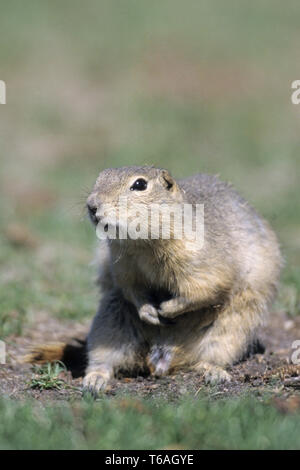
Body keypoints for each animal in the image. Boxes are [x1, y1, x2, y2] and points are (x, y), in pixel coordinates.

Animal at [24, 165, 282, 392]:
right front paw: (149, 311)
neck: (144, 245)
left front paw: (167, 309)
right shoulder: (125, 265)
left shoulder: (202, 258)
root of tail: (160, 361)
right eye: (100, 176)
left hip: (232, 330)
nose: (91, 205)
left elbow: (204, 289)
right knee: (103, 359)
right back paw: (95, 380)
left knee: (211, 357)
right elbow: (130, 287)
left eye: (140, 184)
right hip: (109, 323)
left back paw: (215, 372)